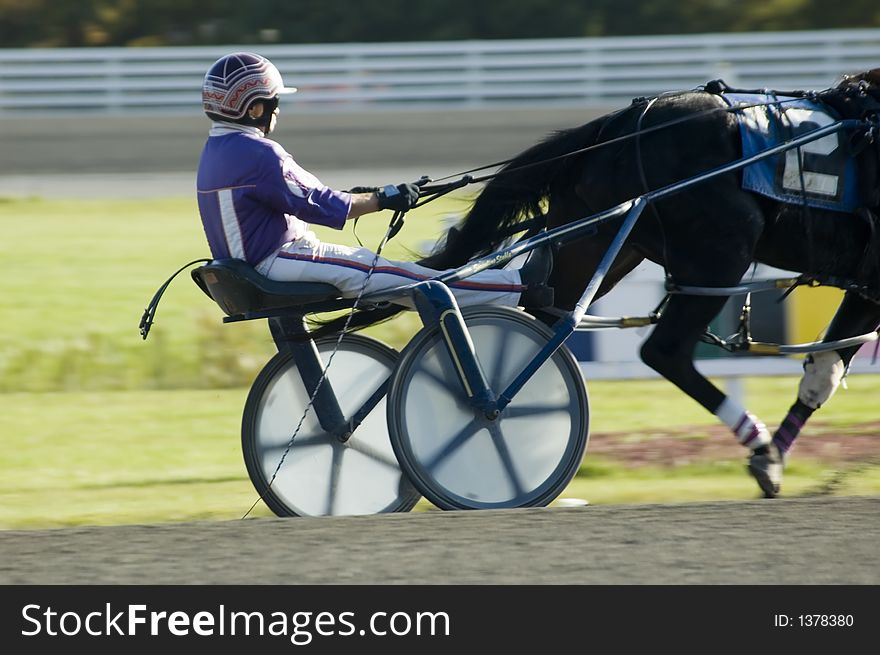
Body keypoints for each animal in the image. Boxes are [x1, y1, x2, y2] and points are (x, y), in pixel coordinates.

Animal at [320, 70, 880, 498]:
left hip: (600, 242)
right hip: (719, 251)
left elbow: (823, 370)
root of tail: (617, 124)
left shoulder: (863, 284)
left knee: (543, 310)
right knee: (663, 350)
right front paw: (771, 457)